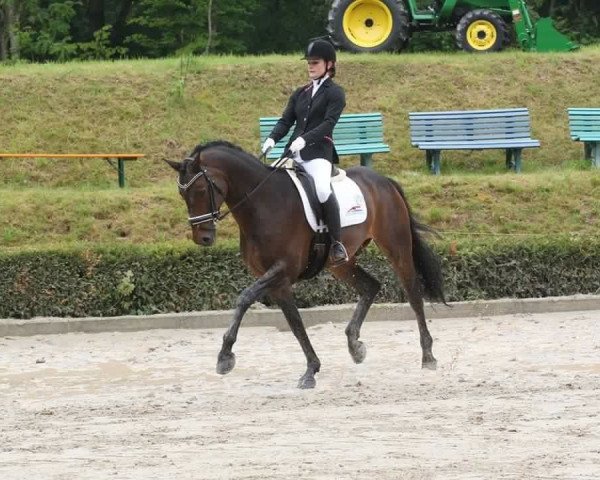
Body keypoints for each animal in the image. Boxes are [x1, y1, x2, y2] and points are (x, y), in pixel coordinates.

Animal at [165, 141, 446, 388]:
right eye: (182, 194)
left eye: (201, 190)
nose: (202, 238)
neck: (263, 203)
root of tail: (383, 180)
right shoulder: (277, 281)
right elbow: (295, 324)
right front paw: (311, 369)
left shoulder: (283, 270)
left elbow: (244, 298)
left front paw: (225, 357)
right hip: (340, 264)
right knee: (370, 286)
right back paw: (355, 346)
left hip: (396, 248)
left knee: (413, 294)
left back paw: (428, 356)